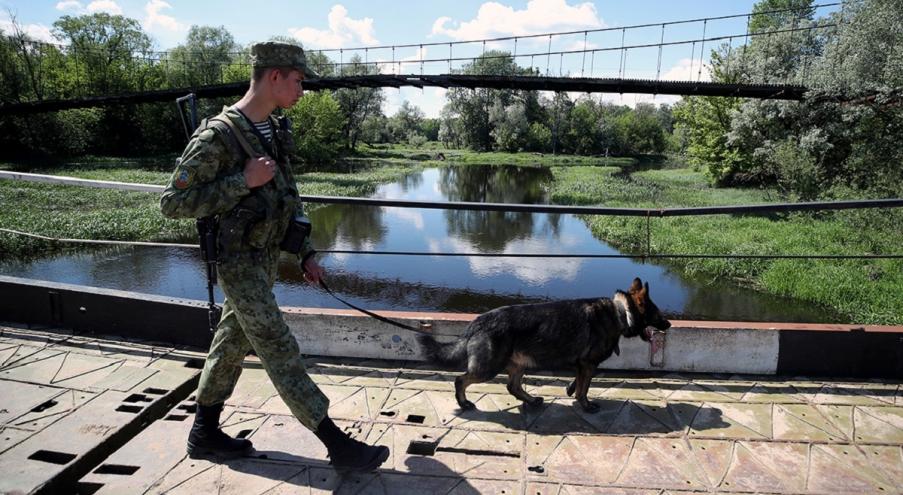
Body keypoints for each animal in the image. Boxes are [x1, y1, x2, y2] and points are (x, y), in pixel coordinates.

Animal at [416, 278, 672, 412]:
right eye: (658, 313)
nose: (669, 324)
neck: (620, 312)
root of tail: (478, 321)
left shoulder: (582, 364)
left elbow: (579, 382)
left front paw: (570, 391)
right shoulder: (588, 363)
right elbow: (585, 387)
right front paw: (585, 404)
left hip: (518, 364)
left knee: (513, 387)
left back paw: (531, 400)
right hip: (489, 367)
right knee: (461, 380)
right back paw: (464, 402)